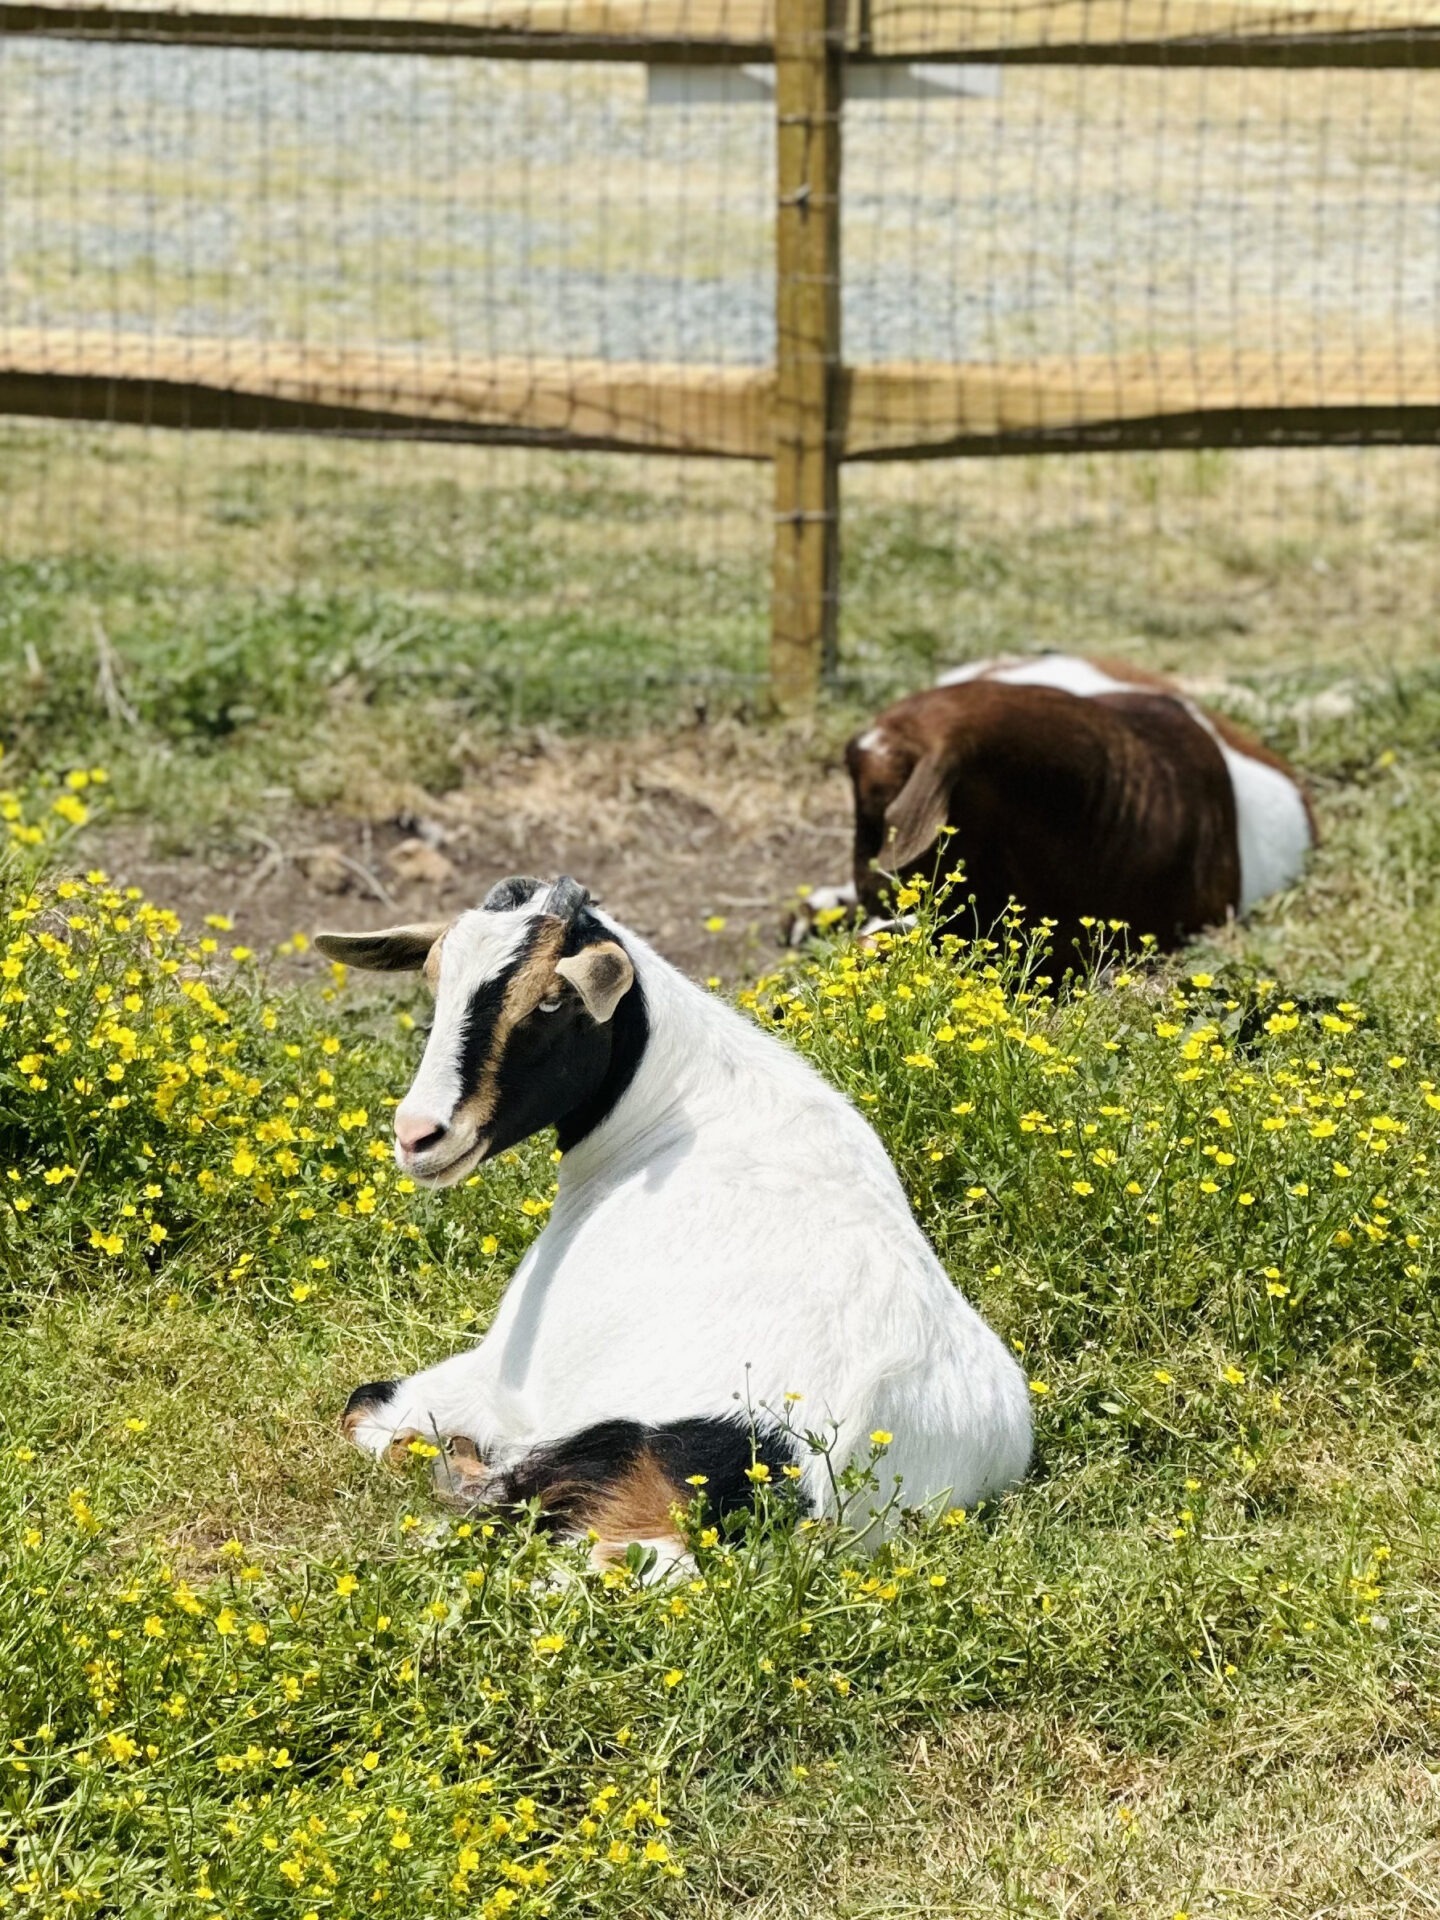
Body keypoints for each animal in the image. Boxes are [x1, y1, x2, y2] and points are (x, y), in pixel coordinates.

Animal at [320, 879, 1029, 1566]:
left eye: (552, 1001)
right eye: (437, 979)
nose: (418, 1134)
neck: (677, 1108)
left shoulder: (499, 1376)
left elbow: (362, 1411)